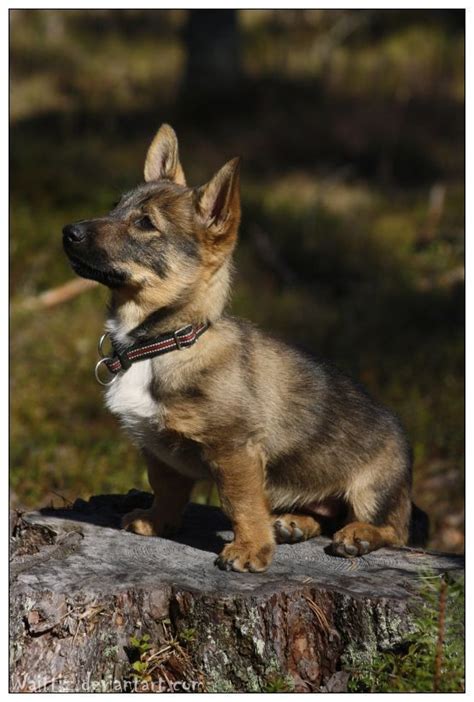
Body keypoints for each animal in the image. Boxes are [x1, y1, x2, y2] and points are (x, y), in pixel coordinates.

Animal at [61, 124, 428, 576]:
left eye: (145, 223)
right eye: (115, 207)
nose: (68, 232)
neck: (164, 342)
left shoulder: (234, 449)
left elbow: (241, 503)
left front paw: (250, 548)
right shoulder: (160, 452)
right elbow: (166, 489)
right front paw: (157, 521)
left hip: (374, 488)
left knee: (394, 529)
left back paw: (358, 536)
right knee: (327, 515)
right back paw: (294, 523)